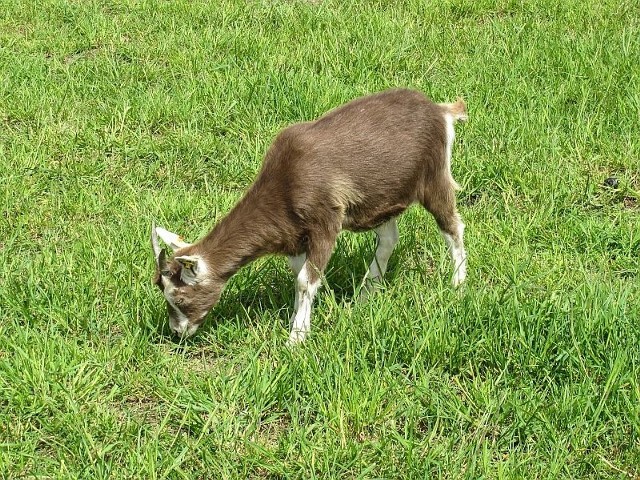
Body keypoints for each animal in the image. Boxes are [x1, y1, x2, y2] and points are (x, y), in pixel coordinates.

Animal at [152, 88, 468, 344]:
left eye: (179, 296)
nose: (177, 332)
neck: (284, 184)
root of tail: (441, 110)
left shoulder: (325, 222)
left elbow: (305, 280)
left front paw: (296, 339)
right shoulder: (293, 236)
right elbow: (300, 275)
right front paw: (309, 313)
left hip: (434, 176)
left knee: (453, 226)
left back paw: (458, 283)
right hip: (382, 200)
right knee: (389, 238)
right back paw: (365, 296)